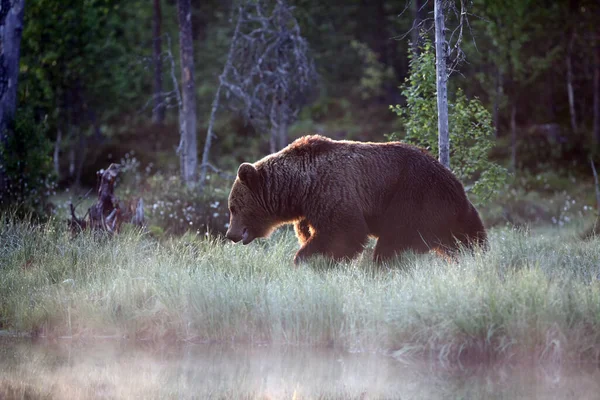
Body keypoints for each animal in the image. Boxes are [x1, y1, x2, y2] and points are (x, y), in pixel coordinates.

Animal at [225, 136, 488, 264]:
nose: (231, 234)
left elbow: (343, 232)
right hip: (447, 210)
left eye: (233, 207)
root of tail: (452, 178)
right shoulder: (309, 210)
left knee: (393, 242)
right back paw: (477, 255)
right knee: (467, 234)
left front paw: (308, 260)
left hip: (414, 196)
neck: (298, 188)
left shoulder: (331, 190)